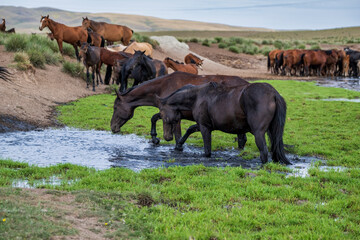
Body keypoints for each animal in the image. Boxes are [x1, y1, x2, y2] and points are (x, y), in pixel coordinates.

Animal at [110, 71, 250, 146]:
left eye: (115, 107)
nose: (112, 127)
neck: (162, 86)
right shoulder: (166, 112)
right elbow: (154, 118)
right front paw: (155, 138)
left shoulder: (174, 115)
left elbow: (176, 133)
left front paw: (177, 145)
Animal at [159, 82, 292, 165]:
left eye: (162, 115)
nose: (167, 137)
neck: (198, 96)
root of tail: (273, 93)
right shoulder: (205, 125)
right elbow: (190, 129)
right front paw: (178, 145)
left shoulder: (204, 127)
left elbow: (207, 151)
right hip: (272, 131)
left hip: (258, 133)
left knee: (263, 152)